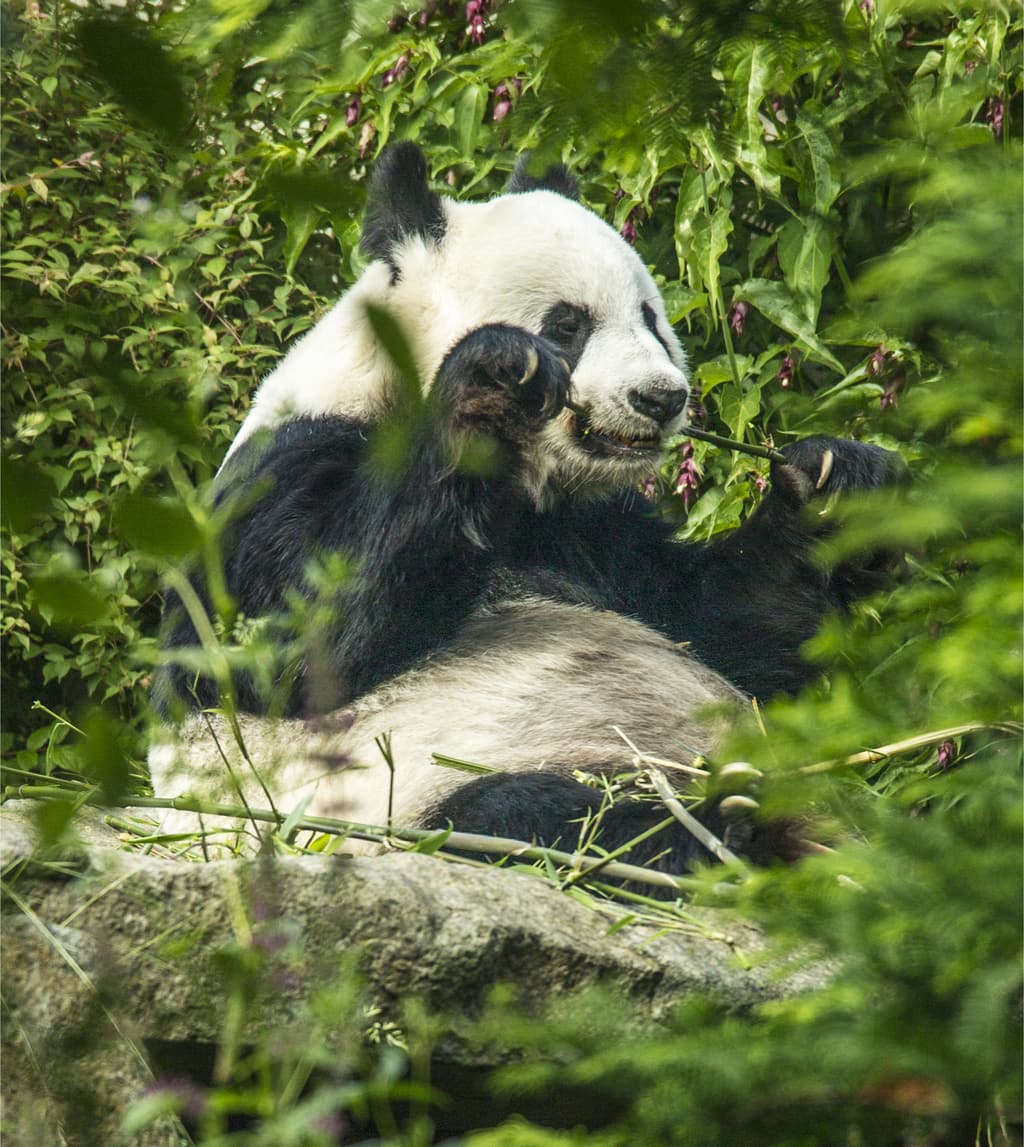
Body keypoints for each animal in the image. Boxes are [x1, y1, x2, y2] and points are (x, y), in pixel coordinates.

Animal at [147, 143, 899, 871]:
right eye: (568, 325)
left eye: (650, 320)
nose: (661, 397)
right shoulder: (281, 474)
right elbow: (291, 646)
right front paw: (491, 383)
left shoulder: (588, 530)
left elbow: (720, 623)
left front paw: (835, 484)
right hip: (387, 807)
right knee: (524, 818)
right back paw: (727, 833)